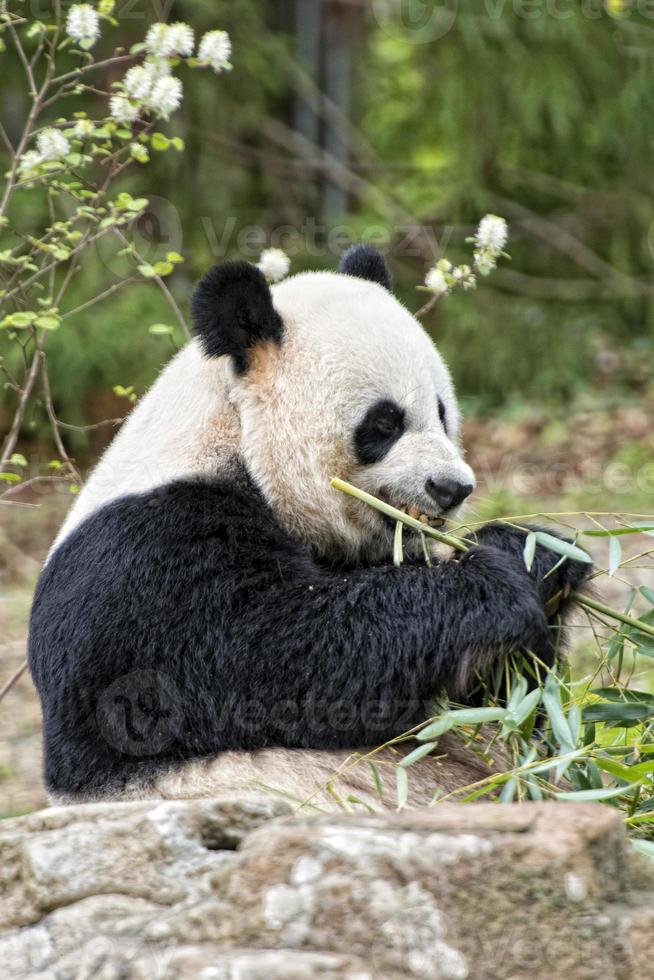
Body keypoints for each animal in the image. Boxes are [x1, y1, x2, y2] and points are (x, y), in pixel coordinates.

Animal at [28, 249, 588, 808]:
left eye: (442, 412)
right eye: (385, 423)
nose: (452, 488)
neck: (234, 437)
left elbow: (493, 707)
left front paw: (539, 556)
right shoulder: (146, 560)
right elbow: (276, 660)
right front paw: (492, 585)